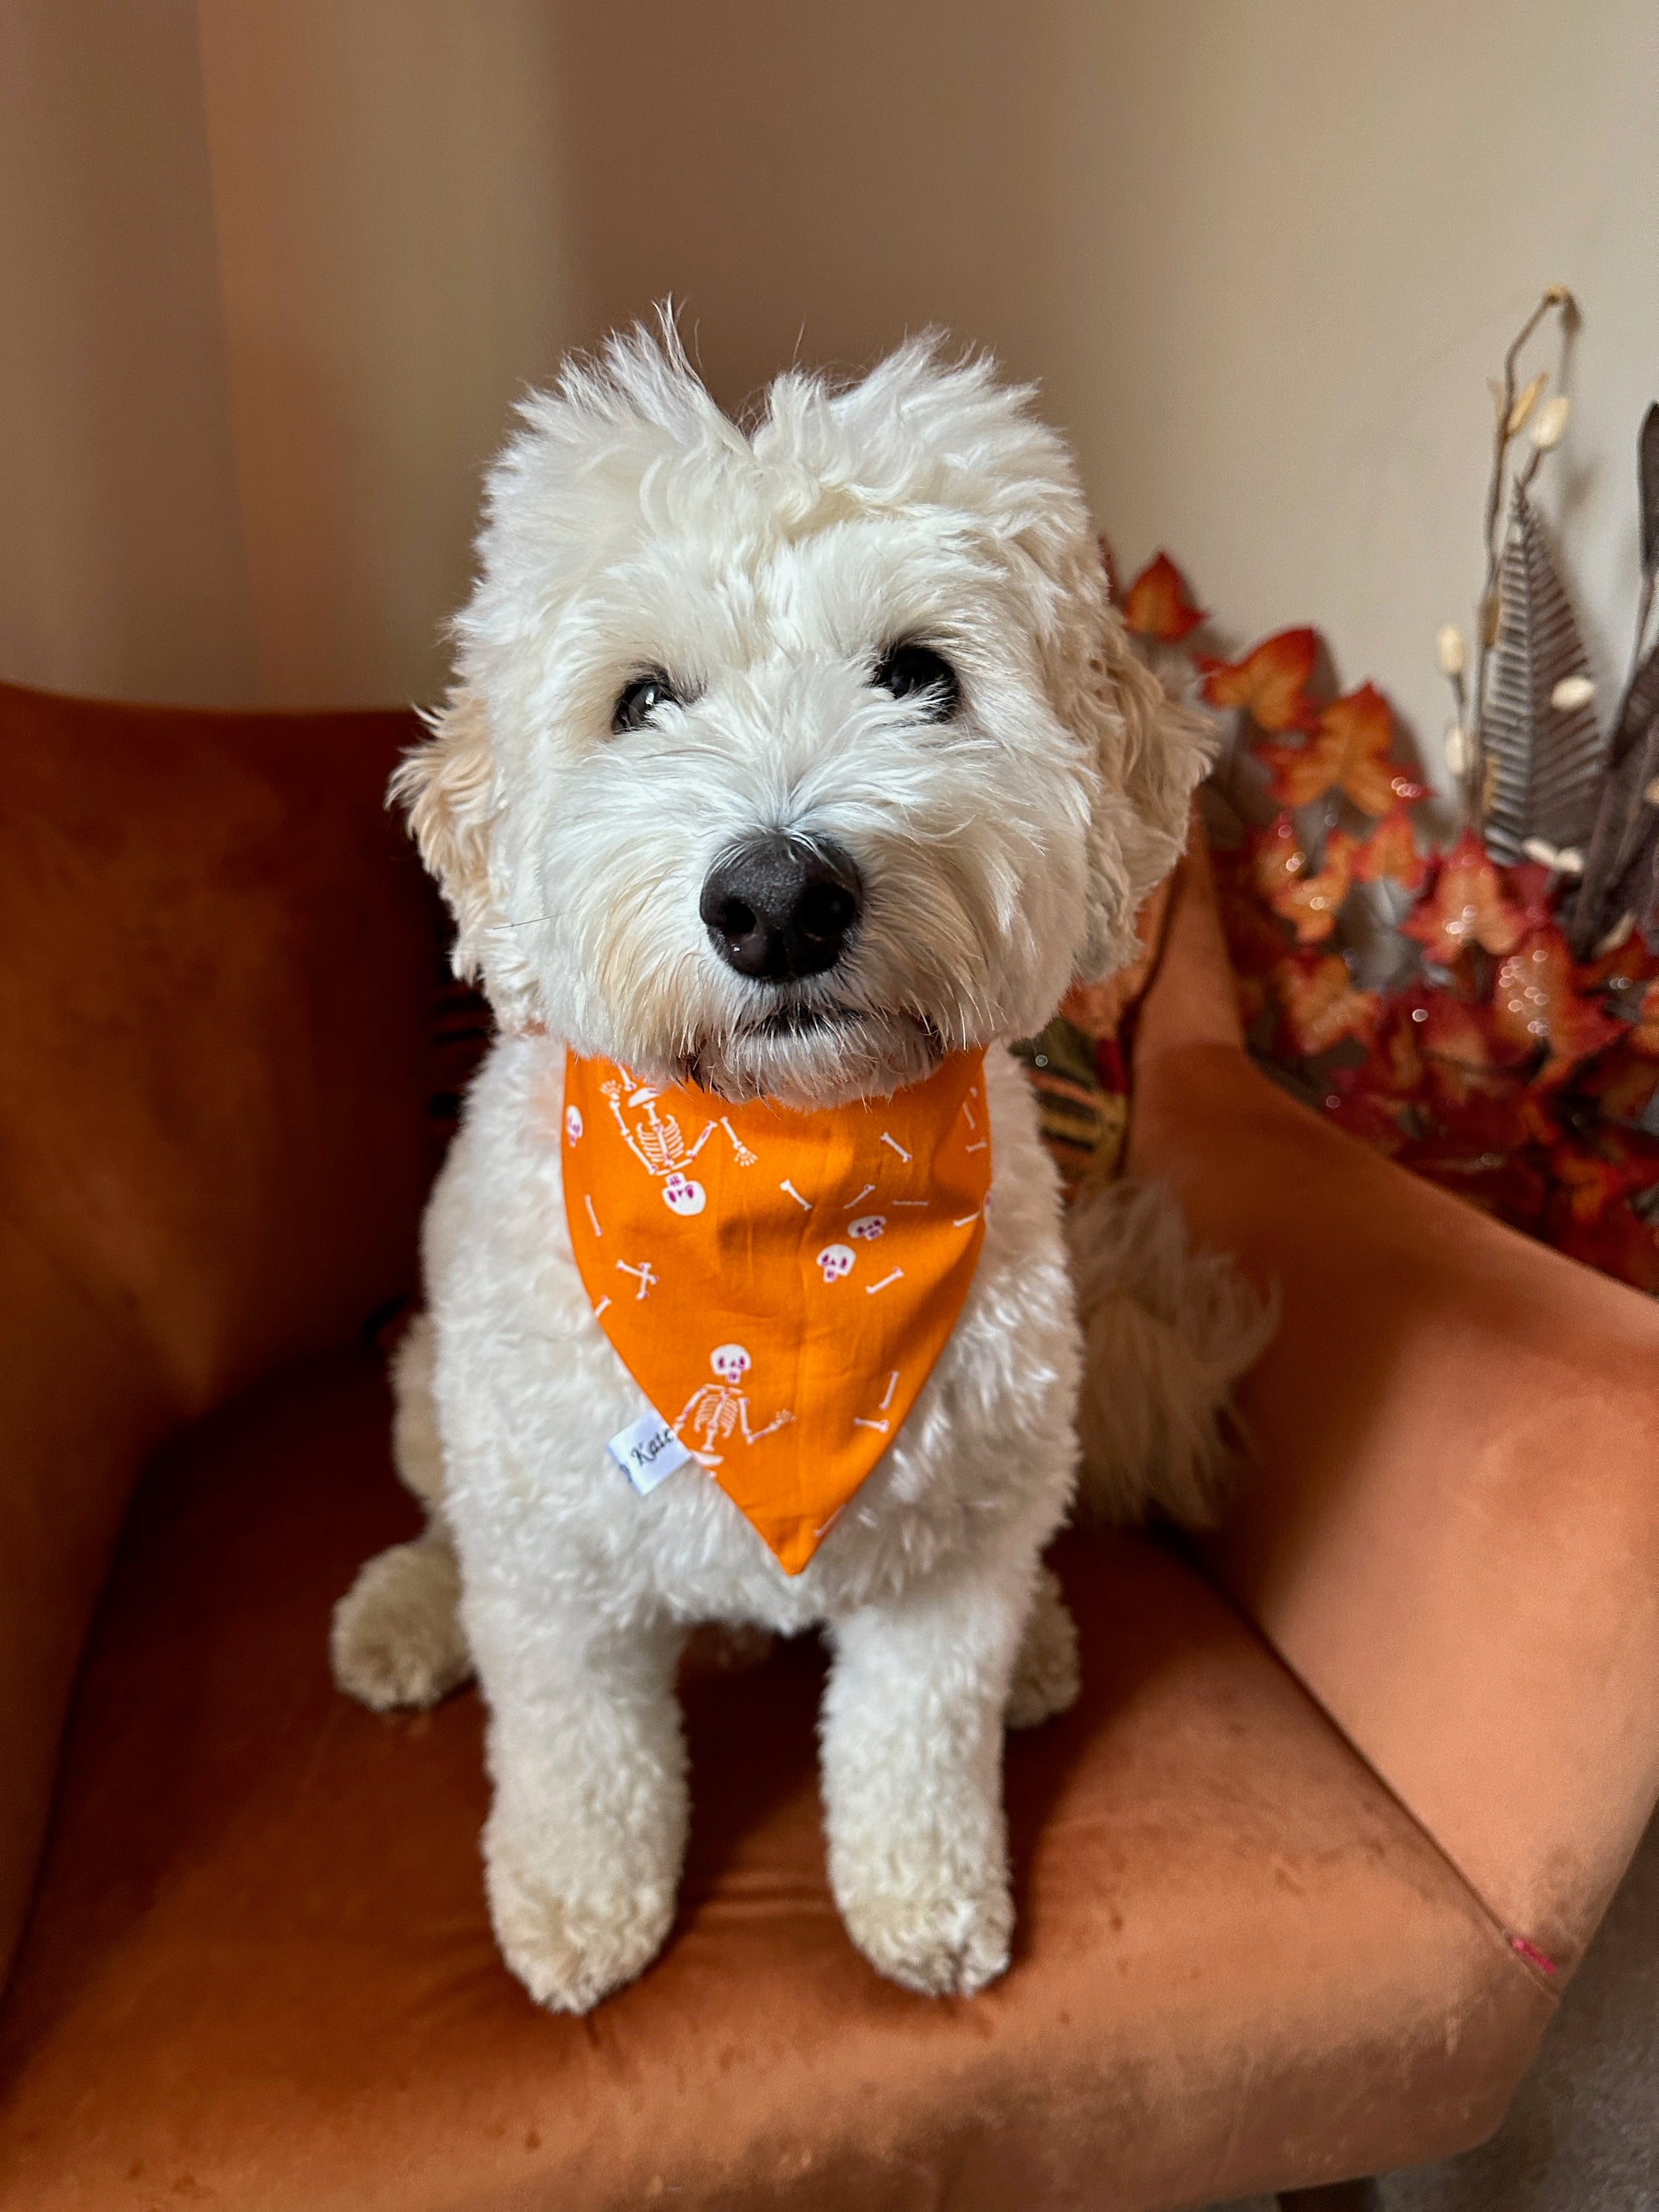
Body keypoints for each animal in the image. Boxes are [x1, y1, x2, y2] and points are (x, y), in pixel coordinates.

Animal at [332, 321, 1265, 2017]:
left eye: (919, 675)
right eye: (639, 699)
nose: (774, 899)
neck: (787, 1194)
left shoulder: (952, 1554)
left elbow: (916, 1742)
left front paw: (926, 1904)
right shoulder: (554, 1571)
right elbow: (577, 1753)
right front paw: (577, 1907)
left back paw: (1041, 1648)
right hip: (435, 1393)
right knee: (445, 1525)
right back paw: (411, 1613)